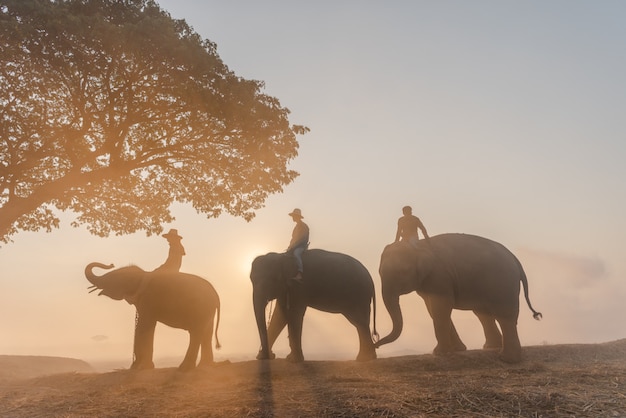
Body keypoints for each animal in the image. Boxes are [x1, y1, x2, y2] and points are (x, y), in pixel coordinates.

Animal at [84, 262, 222, 370]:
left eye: (113, 278)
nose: (111, 264)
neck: (143, 274)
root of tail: (216, 295)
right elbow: (145, 326)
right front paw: (140, 367)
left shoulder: (148, 300)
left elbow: (144, 325)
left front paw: (140, 367)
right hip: (208, 311)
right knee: (206, 333)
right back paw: (205, 365)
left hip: (200, 308)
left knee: (196, 332)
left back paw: (185, 367)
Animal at [372, 233, 540, 364]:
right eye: (380, 272)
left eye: (402, 271)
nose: (376, 344)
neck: (418, 245)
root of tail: (516, 260)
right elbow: (433, 310)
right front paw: (457, 349)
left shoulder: (439, 276)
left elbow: (441, 308)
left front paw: (439, 353)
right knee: (483, 314)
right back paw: (492, 347)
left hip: (503, 284)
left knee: (504, 316)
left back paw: (507, 359)